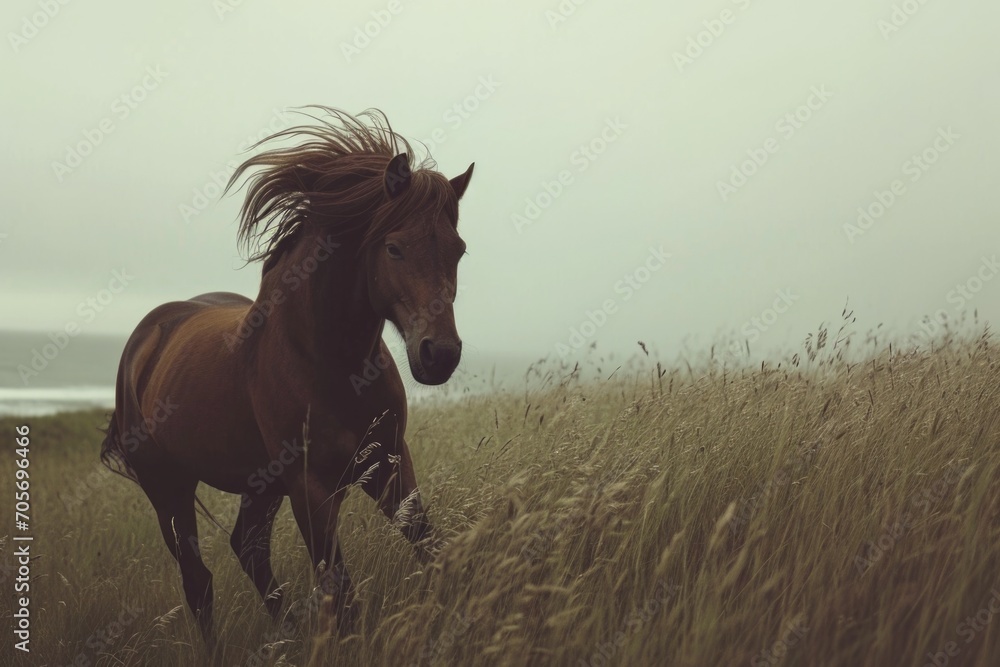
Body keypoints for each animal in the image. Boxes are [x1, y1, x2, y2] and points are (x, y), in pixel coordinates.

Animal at [100, 107, 474, 649]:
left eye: (458, 249)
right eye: (394, 248)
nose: (440, 354)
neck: (330, 362)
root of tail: (145, 340)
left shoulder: (388, 462)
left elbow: (430, 546)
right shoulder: (310, 488)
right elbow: (342, 592)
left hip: (260, 486)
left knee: (248, 550)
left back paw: (288, 635)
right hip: (168, 488)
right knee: (198, 581)